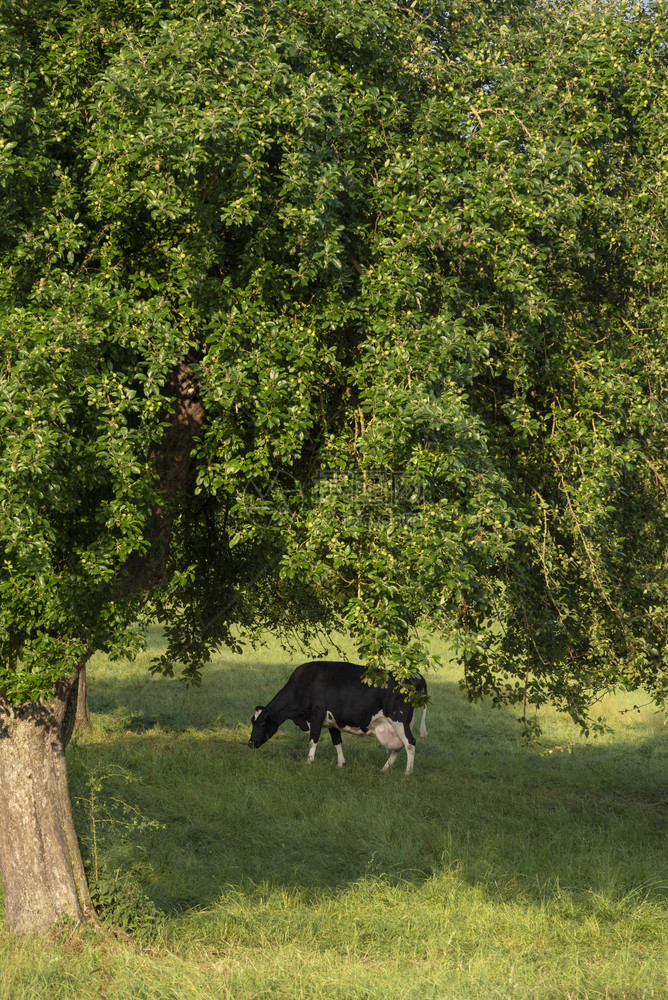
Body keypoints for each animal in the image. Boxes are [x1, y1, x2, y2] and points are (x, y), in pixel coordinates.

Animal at [247, 660, 428, 776]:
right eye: (252, 721)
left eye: (261, 722)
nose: (250, 743)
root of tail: (413, 677)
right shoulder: (332, 721)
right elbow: (337, 741)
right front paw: (341, 764)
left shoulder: (317, 715)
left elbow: (313, 740)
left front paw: (309, 762)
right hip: (398, 725)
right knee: (398, 746)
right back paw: (384, 769)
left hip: (399, 720)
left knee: (410, 743)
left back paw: (407, 773)